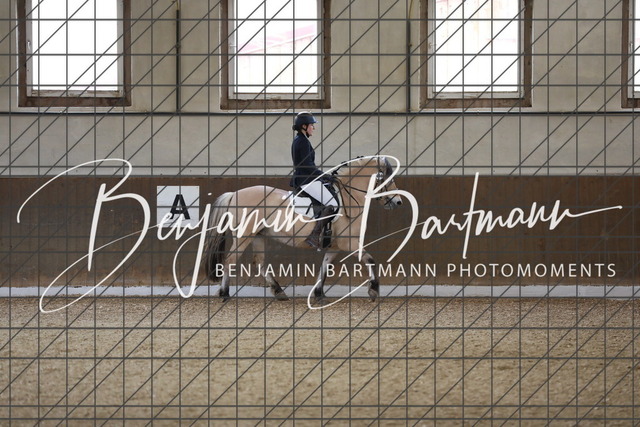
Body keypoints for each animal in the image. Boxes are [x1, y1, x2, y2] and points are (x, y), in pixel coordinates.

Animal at [203, 155, 403, 303]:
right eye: (388, 178)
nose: (398, 202)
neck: (349, 197)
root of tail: (234, 194)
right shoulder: (350, 243)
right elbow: (371, 260)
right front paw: (374, 290)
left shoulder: (334, 246)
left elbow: (324, 267)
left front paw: (319, 294)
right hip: (244, 236)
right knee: (230, 260)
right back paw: (225, 293)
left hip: (258, 235)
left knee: (259, 262)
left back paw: (279, 292)